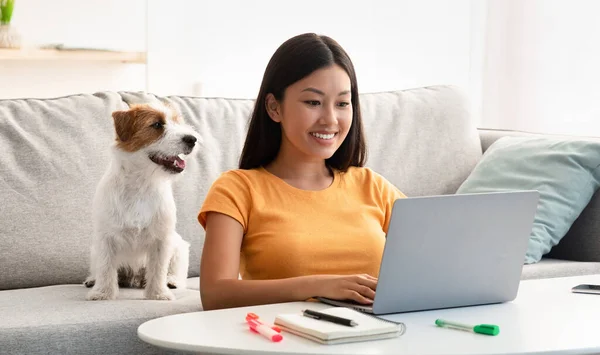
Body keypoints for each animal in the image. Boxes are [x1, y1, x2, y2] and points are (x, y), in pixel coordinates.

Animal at [84, 101, 198, 302]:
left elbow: (158, 269)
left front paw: (158, 294)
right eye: (157, 124)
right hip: (94, 251)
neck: (141, 184)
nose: (192, 139)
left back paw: (172, 281)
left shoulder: (162, 240)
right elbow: (106, 268)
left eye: (178, 121)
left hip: (179, 248)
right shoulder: (105, 238)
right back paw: (93, 279)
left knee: (175, 269)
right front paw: (102, 293)